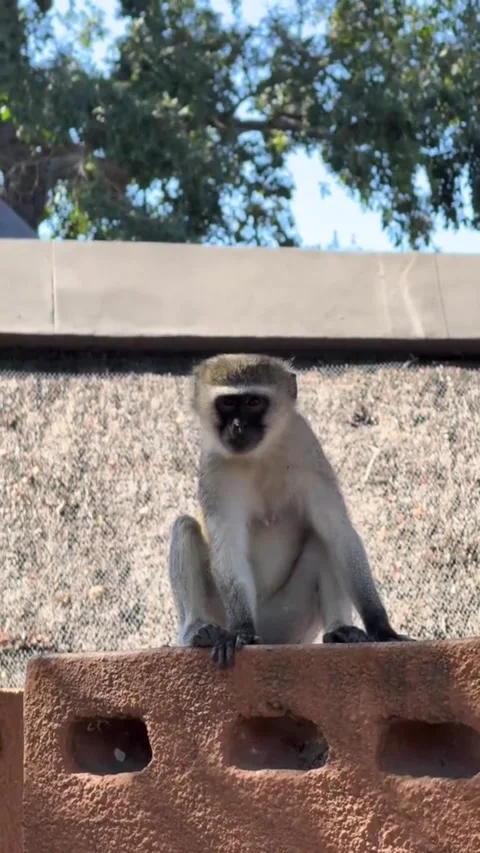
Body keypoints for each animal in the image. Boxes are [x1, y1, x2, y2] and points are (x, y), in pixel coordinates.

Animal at [168, 353, 411, 667]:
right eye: (228, 403)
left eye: (254, 402)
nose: (238, 427)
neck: (261, 455)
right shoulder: (215, 470)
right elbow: (227, 546)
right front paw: (241, 630)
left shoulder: (306, 447)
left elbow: (339, 534)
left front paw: (381, 626)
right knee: (185, 526)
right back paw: (199, 631)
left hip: (290, 623)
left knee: (322, 540)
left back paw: (340, 631)